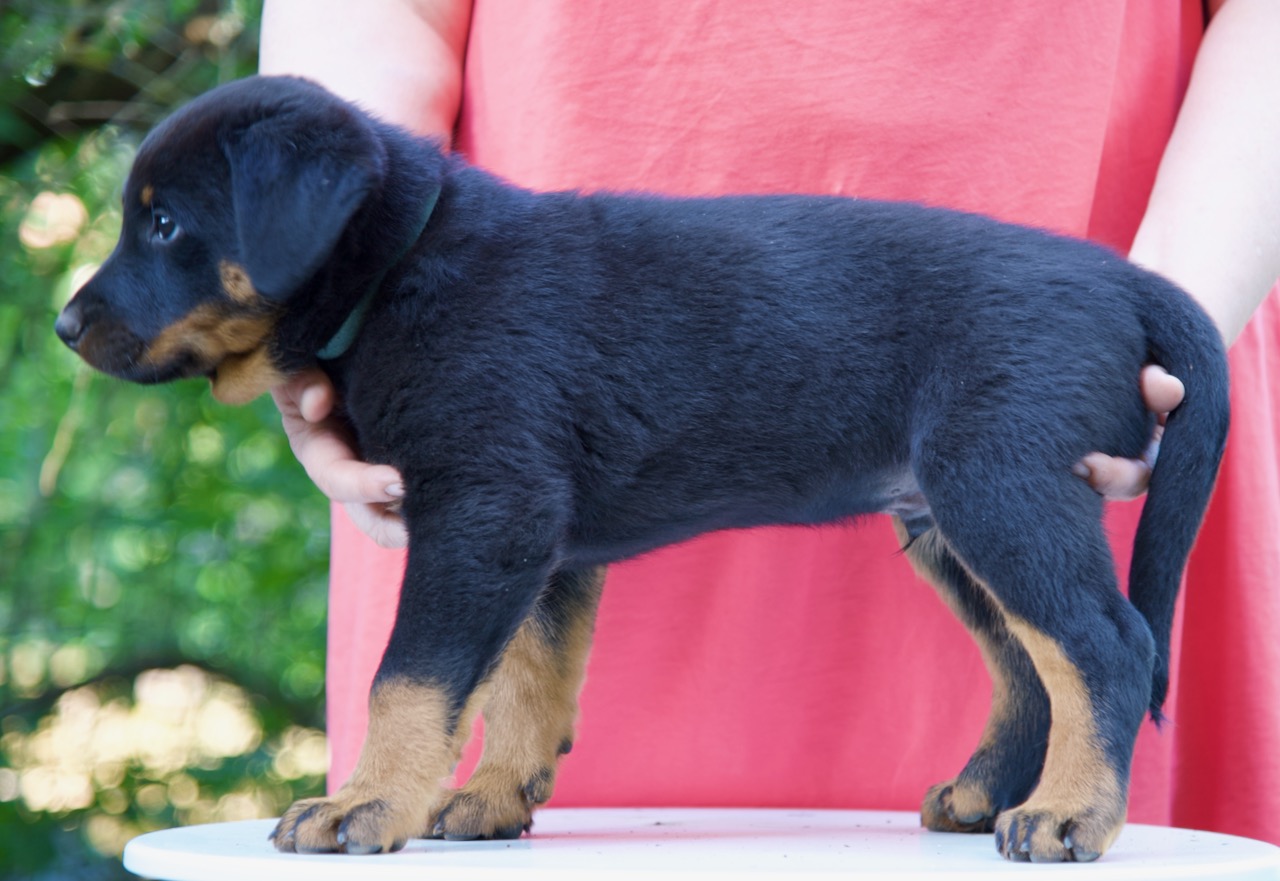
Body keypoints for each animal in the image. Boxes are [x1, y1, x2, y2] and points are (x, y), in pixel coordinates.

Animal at [56, 75, 1229, 862]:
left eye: (164, 222)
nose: (67, 325)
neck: (401, 268)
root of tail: (1126, 281)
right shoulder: (539, 537)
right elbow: (528, 674)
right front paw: (495, 795)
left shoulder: (484, 508)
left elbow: (413, 675)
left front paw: (365, 805)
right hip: (950, 516)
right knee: (1032, 663)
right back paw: (987, 795)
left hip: (1001, 486)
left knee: (1104, 644)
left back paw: (1071, 814)